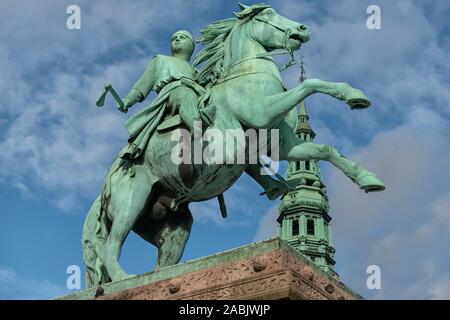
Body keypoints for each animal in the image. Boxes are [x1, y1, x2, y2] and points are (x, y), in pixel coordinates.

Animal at [82, 2, 384, 288]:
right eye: (268, 14)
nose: (303, 28)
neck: (246, 73)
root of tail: (105, 188)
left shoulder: (284, 146)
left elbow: (325, 149)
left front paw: (368, 177)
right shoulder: (262, 111)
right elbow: (309, 83)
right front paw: (353, 94)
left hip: (172, 227)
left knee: (160, 264)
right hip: (132, 200)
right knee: (108, 247)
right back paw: (123, 279)